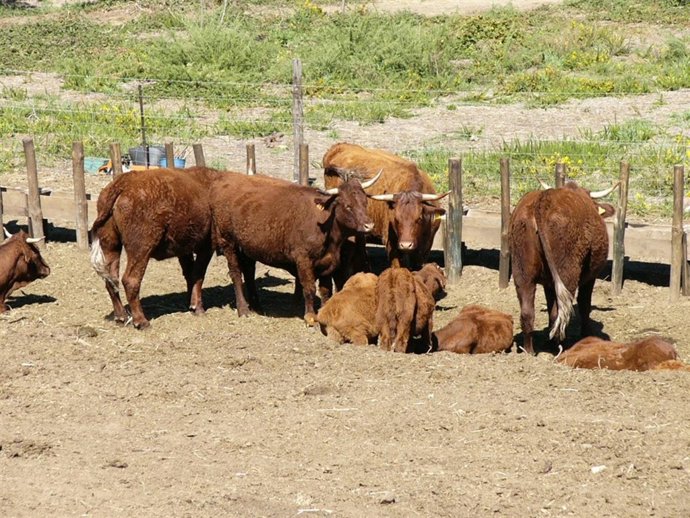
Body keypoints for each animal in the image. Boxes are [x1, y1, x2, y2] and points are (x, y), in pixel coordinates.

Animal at [90, 166, 223, 329]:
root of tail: (125, 181)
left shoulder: (184, 250)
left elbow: (189, 274)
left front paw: (189, 303)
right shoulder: (207, 247)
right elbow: (198, 275)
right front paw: (198, 308)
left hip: (111, 246)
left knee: (111, 280)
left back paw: (121, 317)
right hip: (141, 249)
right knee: (130, 280)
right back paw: (141, 321)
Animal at [211, 171, 379, 326]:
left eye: (365, 202)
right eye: (348, 206)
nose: (369, 225)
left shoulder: (328, 262)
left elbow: (326, 290)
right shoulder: (303, 259)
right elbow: (309, 288)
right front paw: (310, 317)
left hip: (247, 247)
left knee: (249, 272)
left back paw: (257, 306)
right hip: (228, 242)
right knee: (236, 274)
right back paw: (243, 309)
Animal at [323, 142, 448, 277]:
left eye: (419, 218)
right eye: (396, 219)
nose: (406, 245)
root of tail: (338, 147)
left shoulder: (426, 245)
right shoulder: (392, 243)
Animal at [509, 180, 618, 354]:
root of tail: (543, 200)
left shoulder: (548, 283)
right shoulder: (590, 277)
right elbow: (584, 304)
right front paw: (586, 334)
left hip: (522, 272)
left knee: (527, 312)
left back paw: (529, 351)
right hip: (567, 273)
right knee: (559, 313)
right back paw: (558, 347)